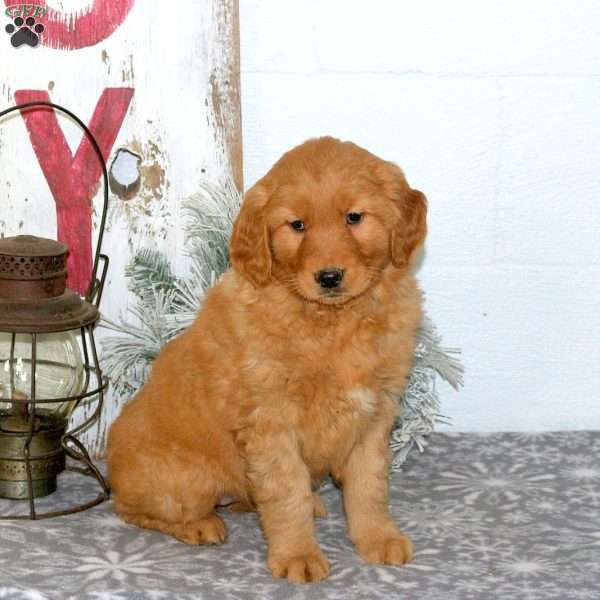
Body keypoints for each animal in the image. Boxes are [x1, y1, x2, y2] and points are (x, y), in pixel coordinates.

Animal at [108, 136, 426, 580]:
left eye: (354, 217)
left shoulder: (375, 415)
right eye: (297, 225)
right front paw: (298, 555)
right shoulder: (270, 421)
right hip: (186, 481)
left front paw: (378, 538)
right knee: (132, 508)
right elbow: (286, 493)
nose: (329, 277)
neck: (331, 322)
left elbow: (369, 486)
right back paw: (199, 525)